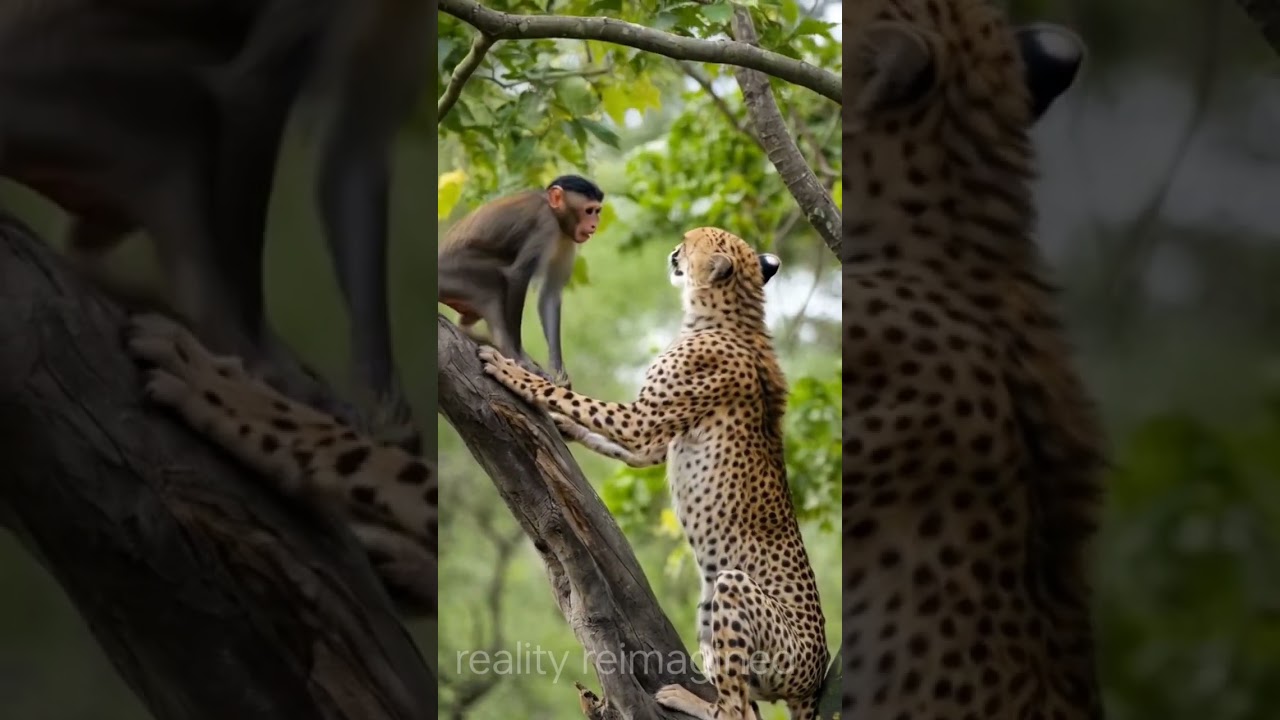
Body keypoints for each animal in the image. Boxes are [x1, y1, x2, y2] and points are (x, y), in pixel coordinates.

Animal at [438, 175, 604, 388]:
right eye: (589, 211)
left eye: (597, 211)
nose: (594, 225)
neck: (555, 214)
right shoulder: (545, 226)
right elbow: (518, 275)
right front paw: (520, 357)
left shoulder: (567, 239)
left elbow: (550, 294)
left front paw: (559, 370)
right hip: (454, 274)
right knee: (496, 286)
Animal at [479, 226, 831, 720]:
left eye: (691, 240)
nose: (674, 251)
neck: (730, 312)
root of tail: (816, 678)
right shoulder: (648, 440)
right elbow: (613, 438)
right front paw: (563, 426)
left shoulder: (641, 419)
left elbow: (576, 399)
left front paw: (510, 371)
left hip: (730, 587)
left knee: (735, 711)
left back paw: (684, 697)